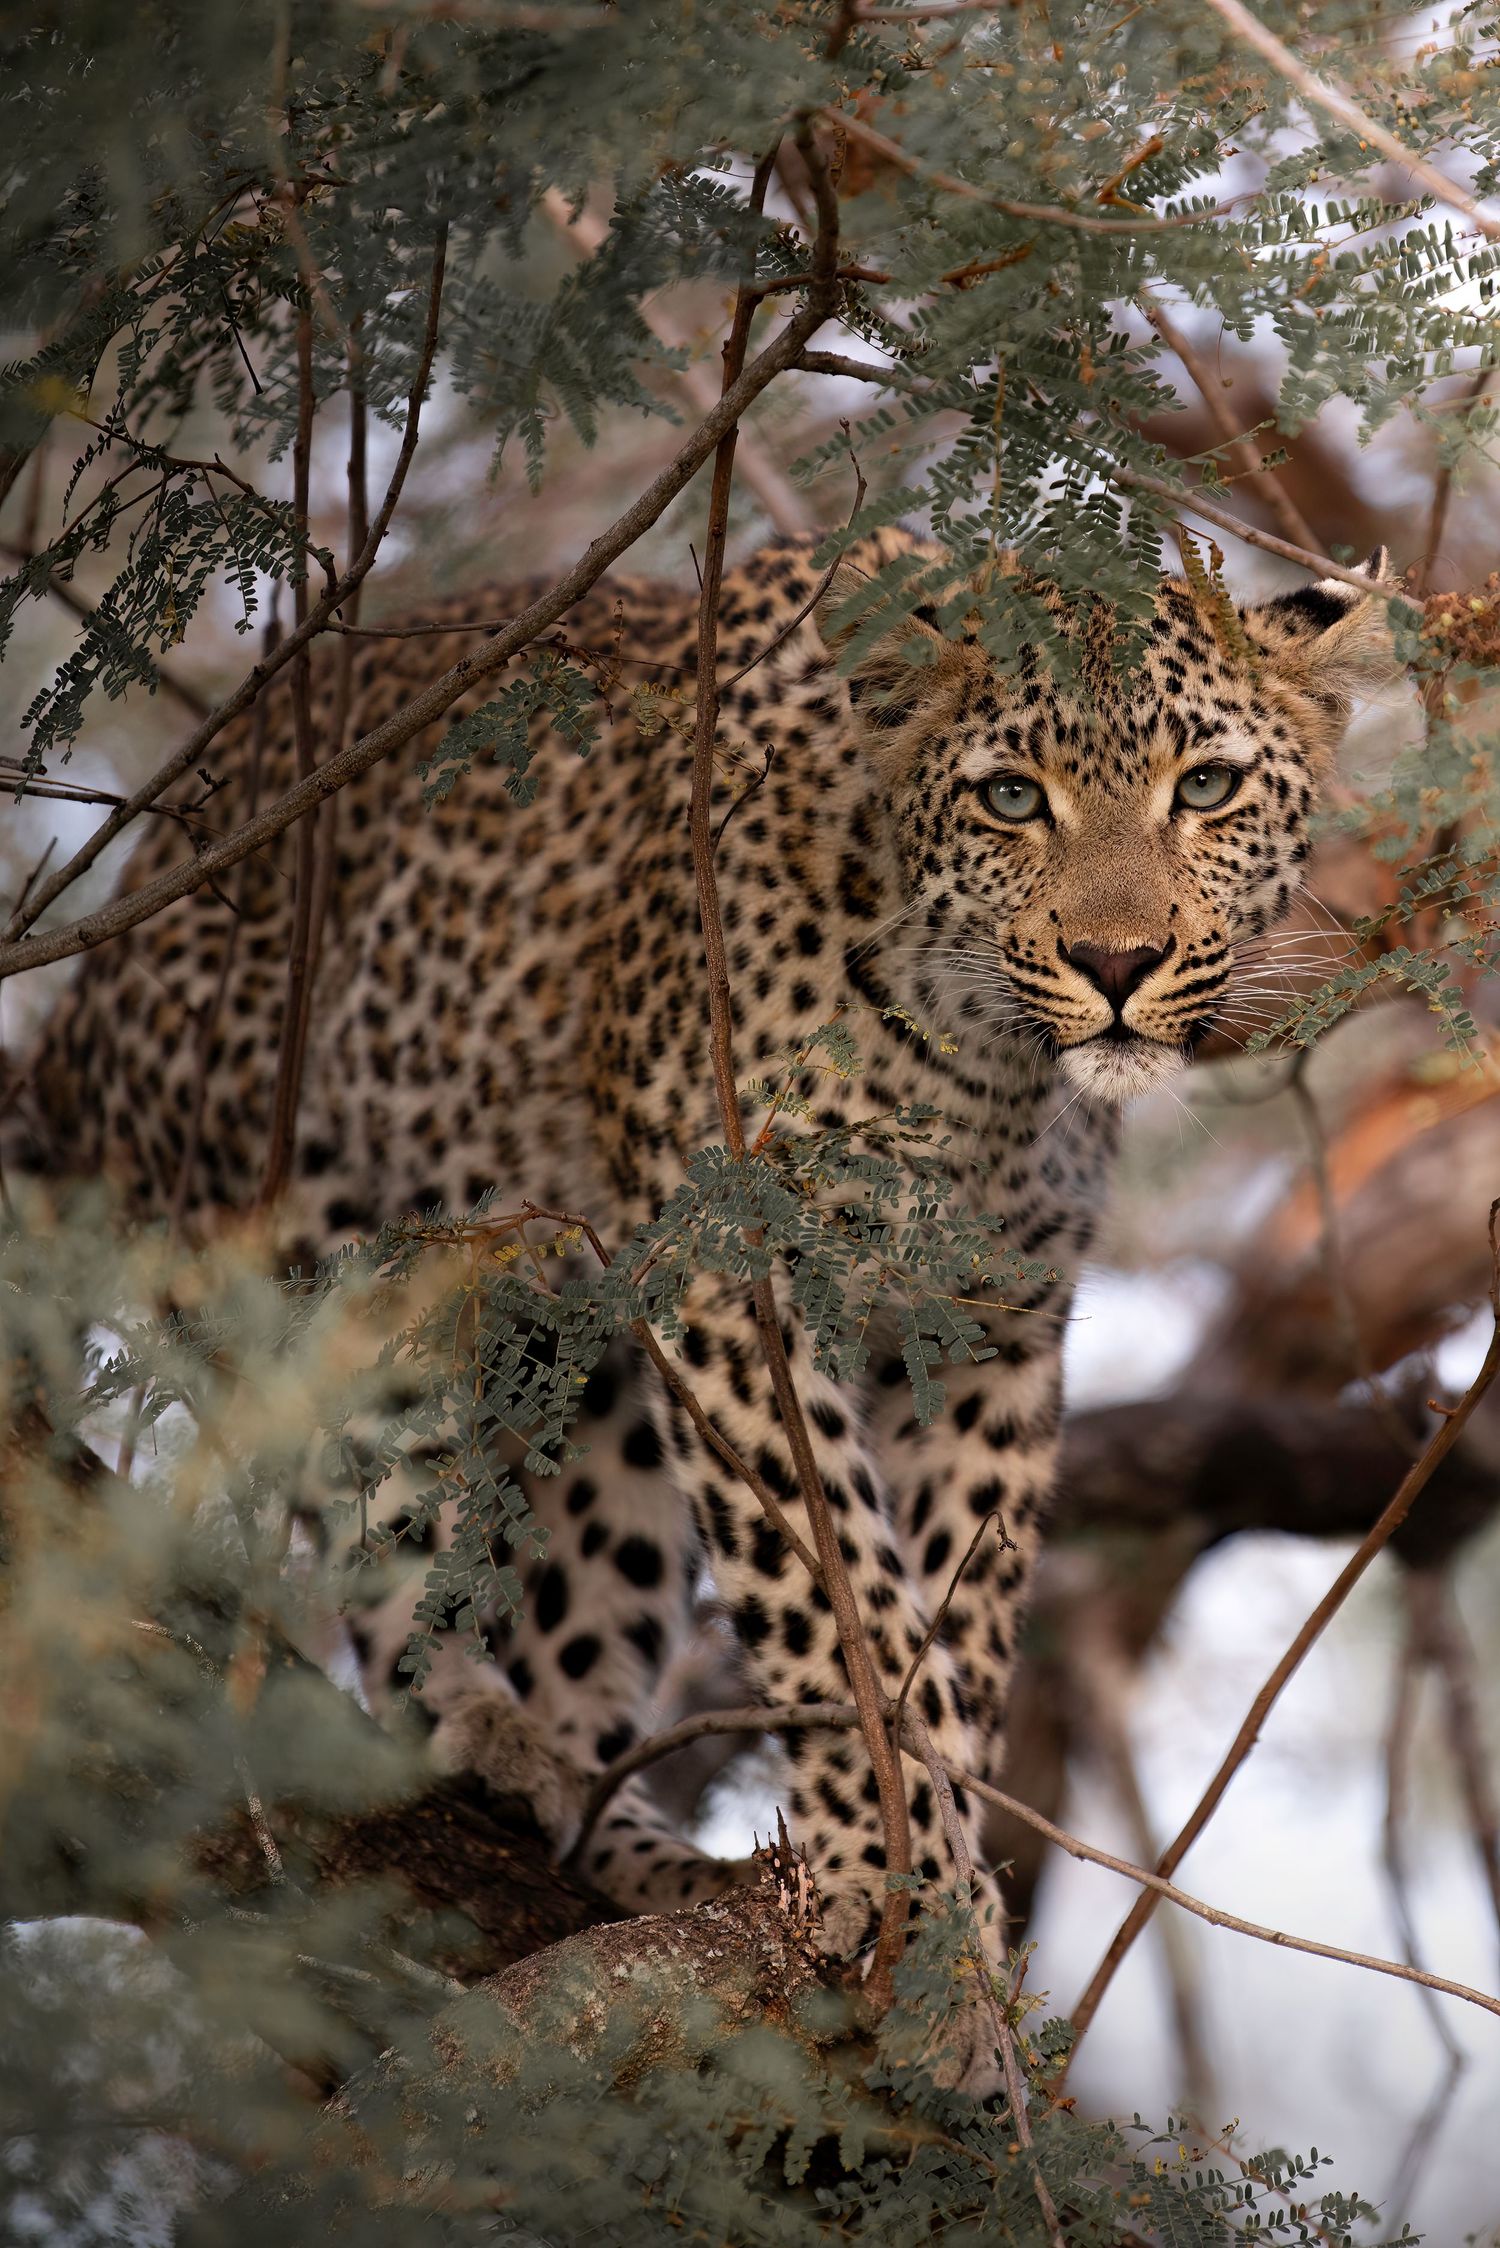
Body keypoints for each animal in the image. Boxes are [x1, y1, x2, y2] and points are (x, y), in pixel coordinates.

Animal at [7, 525, 1393, 1957]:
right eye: (1013, 798)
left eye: (1208, 786)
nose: (1117, 962)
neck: (987, 1070)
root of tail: (80, 1020)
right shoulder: (734, 1272)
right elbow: (839, 1598)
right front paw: (896, 1869)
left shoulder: (984, 1324)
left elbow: (958, 1614)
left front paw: (951, 1895)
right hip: (343, 1254)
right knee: (381, 1531)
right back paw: (485, 1731)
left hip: (592, 1378)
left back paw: (636, 1847)